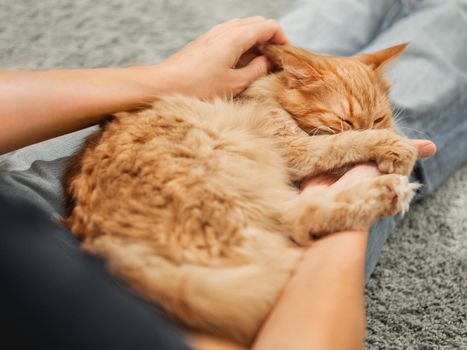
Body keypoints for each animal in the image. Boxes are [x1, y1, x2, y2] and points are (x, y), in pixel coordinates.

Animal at [64, 43, 418, 344]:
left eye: (378, 117)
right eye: (344, 118)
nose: (377, 126)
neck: (267, 90)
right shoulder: (297, 150)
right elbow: (344, 143)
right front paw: (395, 147)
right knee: (297, 218)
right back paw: (387, 190)